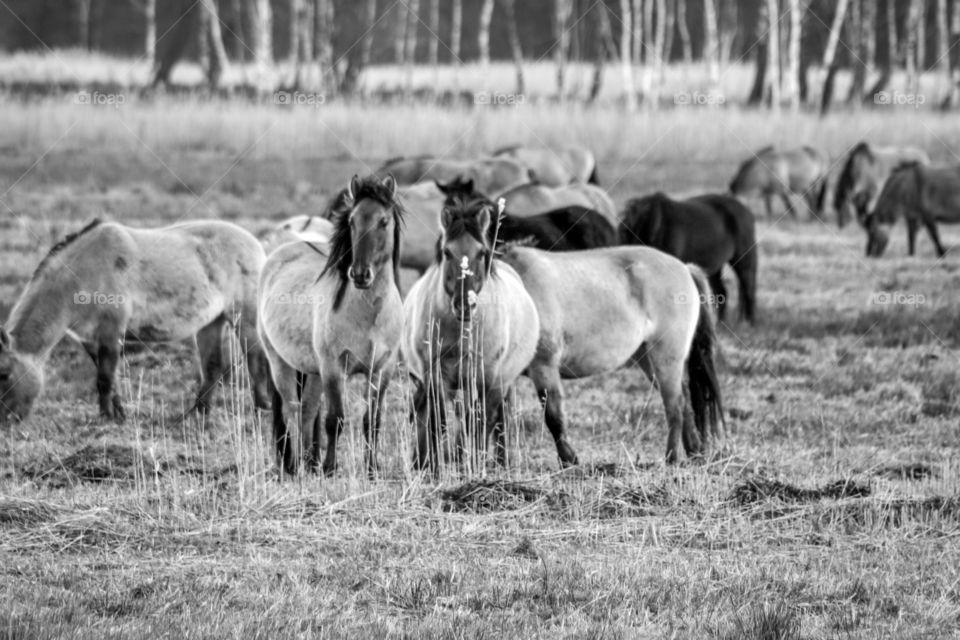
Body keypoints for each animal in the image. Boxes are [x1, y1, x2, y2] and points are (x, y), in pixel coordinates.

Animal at [0, 219, 271, 424]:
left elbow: (105, 378)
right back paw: (196, 413)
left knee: (255, 359)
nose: (5, 421)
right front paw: (118, 413)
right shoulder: (91, 339)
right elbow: (109, 377)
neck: (82, 273)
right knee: (213, 366)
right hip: (211, 322)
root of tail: (256, 244)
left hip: (244, 319)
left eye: (4, 374)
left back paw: (261, 409)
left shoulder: (111, 331)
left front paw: (106, 417)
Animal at [258, 175, 404, 476]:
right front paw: (330, 467)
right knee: (291, 410)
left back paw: (307, 461)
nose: (360, 275)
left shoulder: (382, 370)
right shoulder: (334, 368)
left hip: (312, 371)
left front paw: (372, 468)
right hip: (280, 362)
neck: (370, 315)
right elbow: (335, 419)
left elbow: (372, 420)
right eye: (352, 221)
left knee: (307, 410)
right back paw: (295, 466)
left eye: (383, 221)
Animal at [402, 196, 540, 472]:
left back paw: (500, 462)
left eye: (482, 253)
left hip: (501, 383)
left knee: (498, 419)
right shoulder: (434, 374)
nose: (464, 305)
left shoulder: (488, 377)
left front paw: (473, 466)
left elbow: (479, 424)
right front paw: (433, 468)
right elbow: (437, 422)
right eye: (447, 252)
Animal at [500, 245, 724, 465]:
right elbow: (502, 419)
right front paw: (502, 462)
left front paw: (569, 459)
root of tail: (685, 268)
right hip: (649, 361)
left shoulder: (544, 367)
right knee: (684, 400)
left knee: (675, 405)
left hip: (666, 358)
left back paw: (673, 457)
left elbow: (553, 416)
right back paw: (694, 451)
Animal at [619, 192, 758, 323]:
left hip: (744, 261)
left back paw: (749, 323)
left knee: (748, 288)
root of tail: (746, 210)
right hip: (714, 267)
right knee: (722, 292)